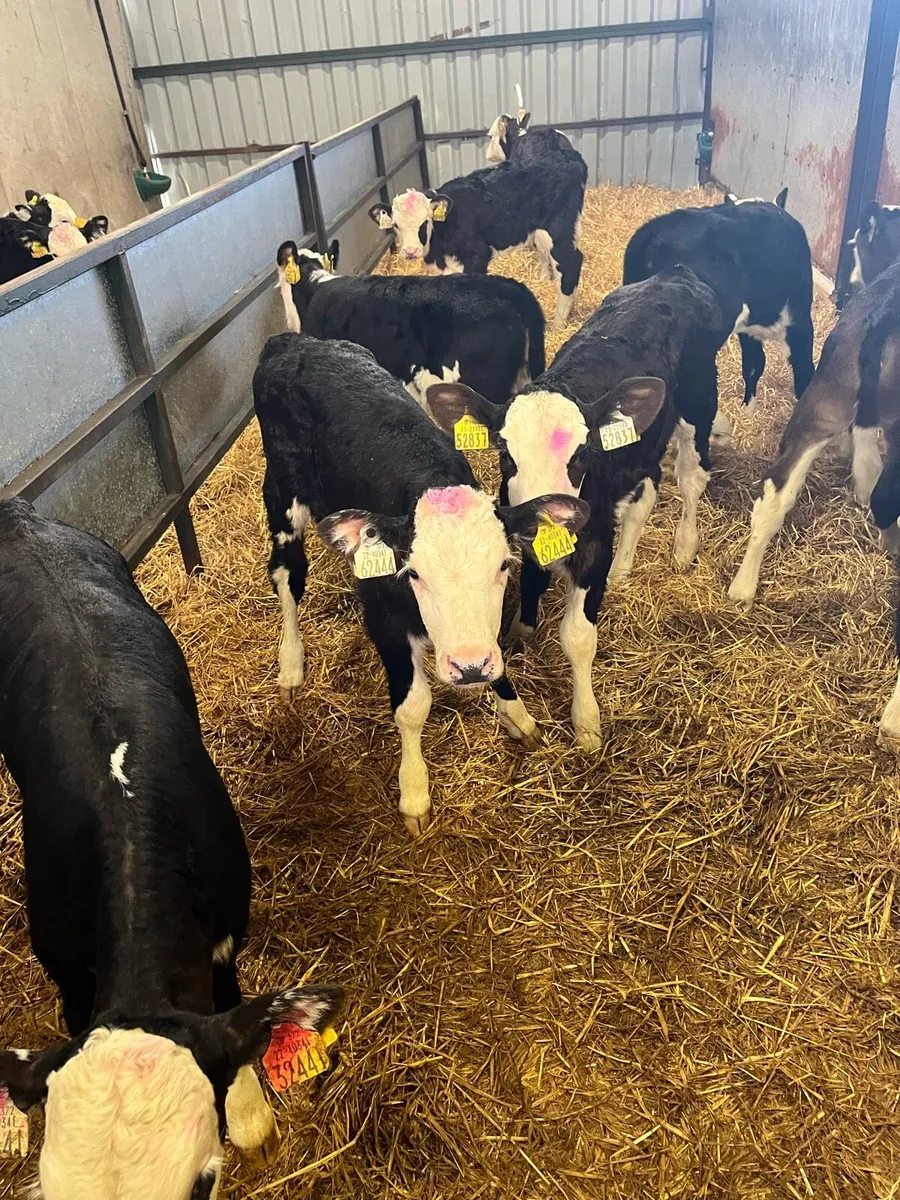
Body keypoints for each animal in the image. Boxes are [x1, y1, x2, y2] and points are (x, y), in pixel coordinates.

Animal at [254, 333, 588, 835]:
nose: (468, 668)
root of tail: (293, 340)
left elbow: (497, 655)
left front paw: (517, 714)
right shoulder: (384, 617)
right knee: (287, 578)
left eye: (503, 566)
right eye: (413, 574)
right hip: (282, 496)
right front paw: (414, 792)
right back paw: (291, 664)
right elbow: (413, 706)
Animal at [368, 149, 588, 331]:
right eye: (396, 225)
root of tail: (569, 155)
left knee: (570, 263)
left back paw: (558, 324)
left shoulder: (477, 257)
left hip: (558, 230)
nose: (410, 251)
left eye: (425, 221)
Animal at [425, 266, 723, 751]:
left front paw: (586, 722)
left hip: (699, 403)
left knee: (692, 478)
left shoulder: (593, 543)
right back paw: (624, 568)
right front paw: (520, 632)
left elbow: (578, 636)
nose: (551, 513)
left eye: (581, 453)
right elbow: (531, 583)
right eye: (504, 452)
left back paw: (683, 547)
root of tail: (674, 275)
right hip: (644, 444)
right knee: (645, 495)